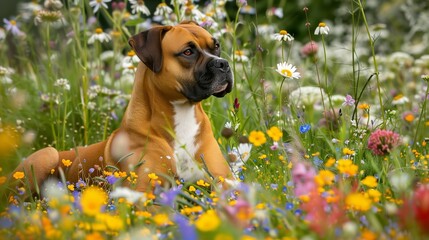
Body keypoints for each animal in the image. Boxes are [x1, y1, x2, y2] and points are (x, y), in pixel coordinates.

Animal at [11, 21, 234, 194]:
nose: (223, 63)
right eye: (188, 52)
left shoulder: (226, 184)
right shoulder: (144, 193)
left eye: (216, 46)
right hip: (47, 154)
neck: (183, 113)